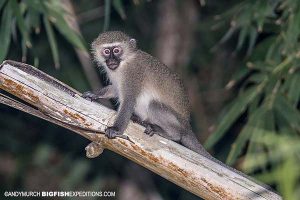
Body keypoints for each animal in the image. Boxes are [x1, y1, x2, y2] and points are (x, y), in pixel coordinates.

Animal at [81, 31, 210, 156]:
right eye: (107, 51)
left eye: (117, 50)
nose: (112, 60)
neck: (124, 62)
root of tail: (187, 126)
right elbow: (116, 89)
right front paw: (94, 94)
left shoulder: (133, 73)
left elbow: (129, 100)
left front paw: (116, 129)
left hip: (178, 122)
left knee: (155, 105)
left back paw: (172, 134)